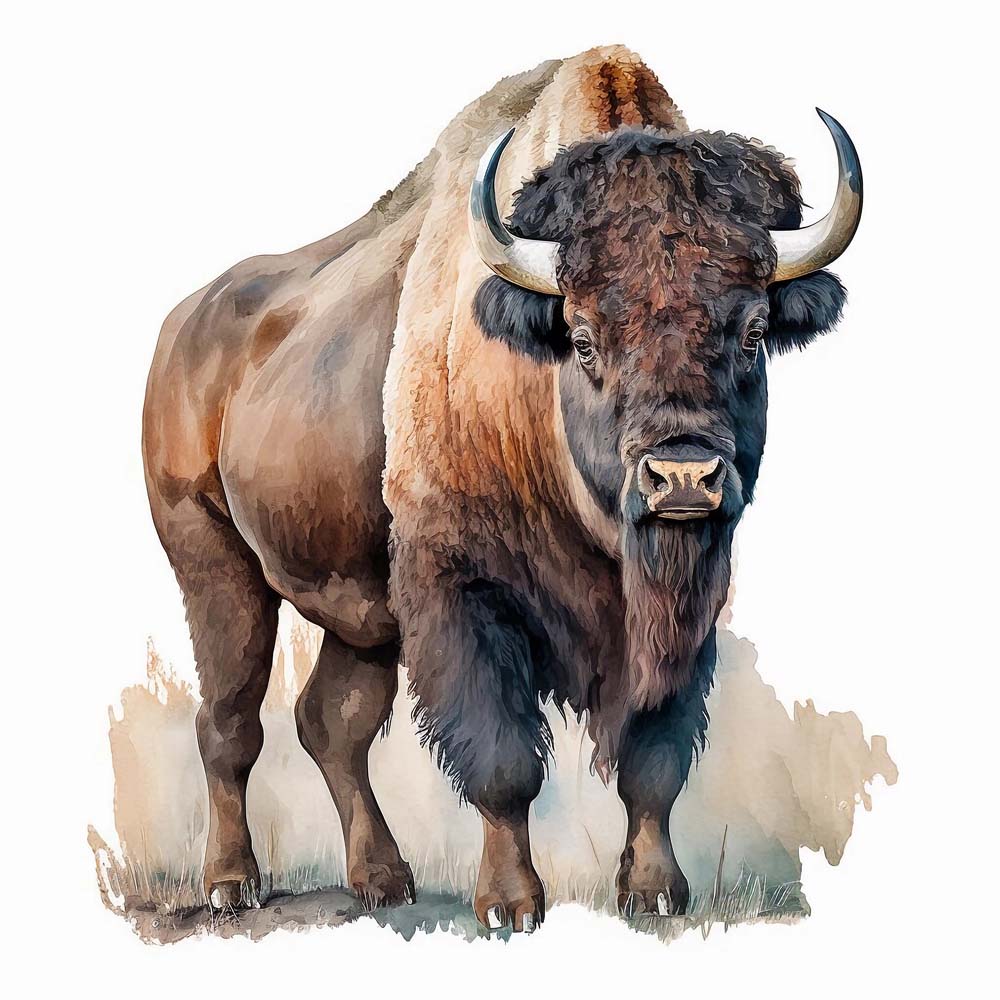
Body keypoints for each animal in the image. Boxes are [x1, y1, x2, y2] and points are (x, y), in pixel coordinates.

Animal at [142, 46, 861, 932]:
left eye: (754, 331)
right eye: (583, 338)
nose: (682, 477)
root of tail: (183, 325)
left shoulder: (683, 609)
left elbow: (653, 759)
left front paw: (656, 893)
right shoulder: (460, 591)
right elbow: (503, 762)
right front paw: (510, 906)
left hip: (361, 612)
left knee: (331, 722)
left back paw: (384, 879)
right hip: (213, 564)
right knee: (230, 721)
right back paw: (231, 883)